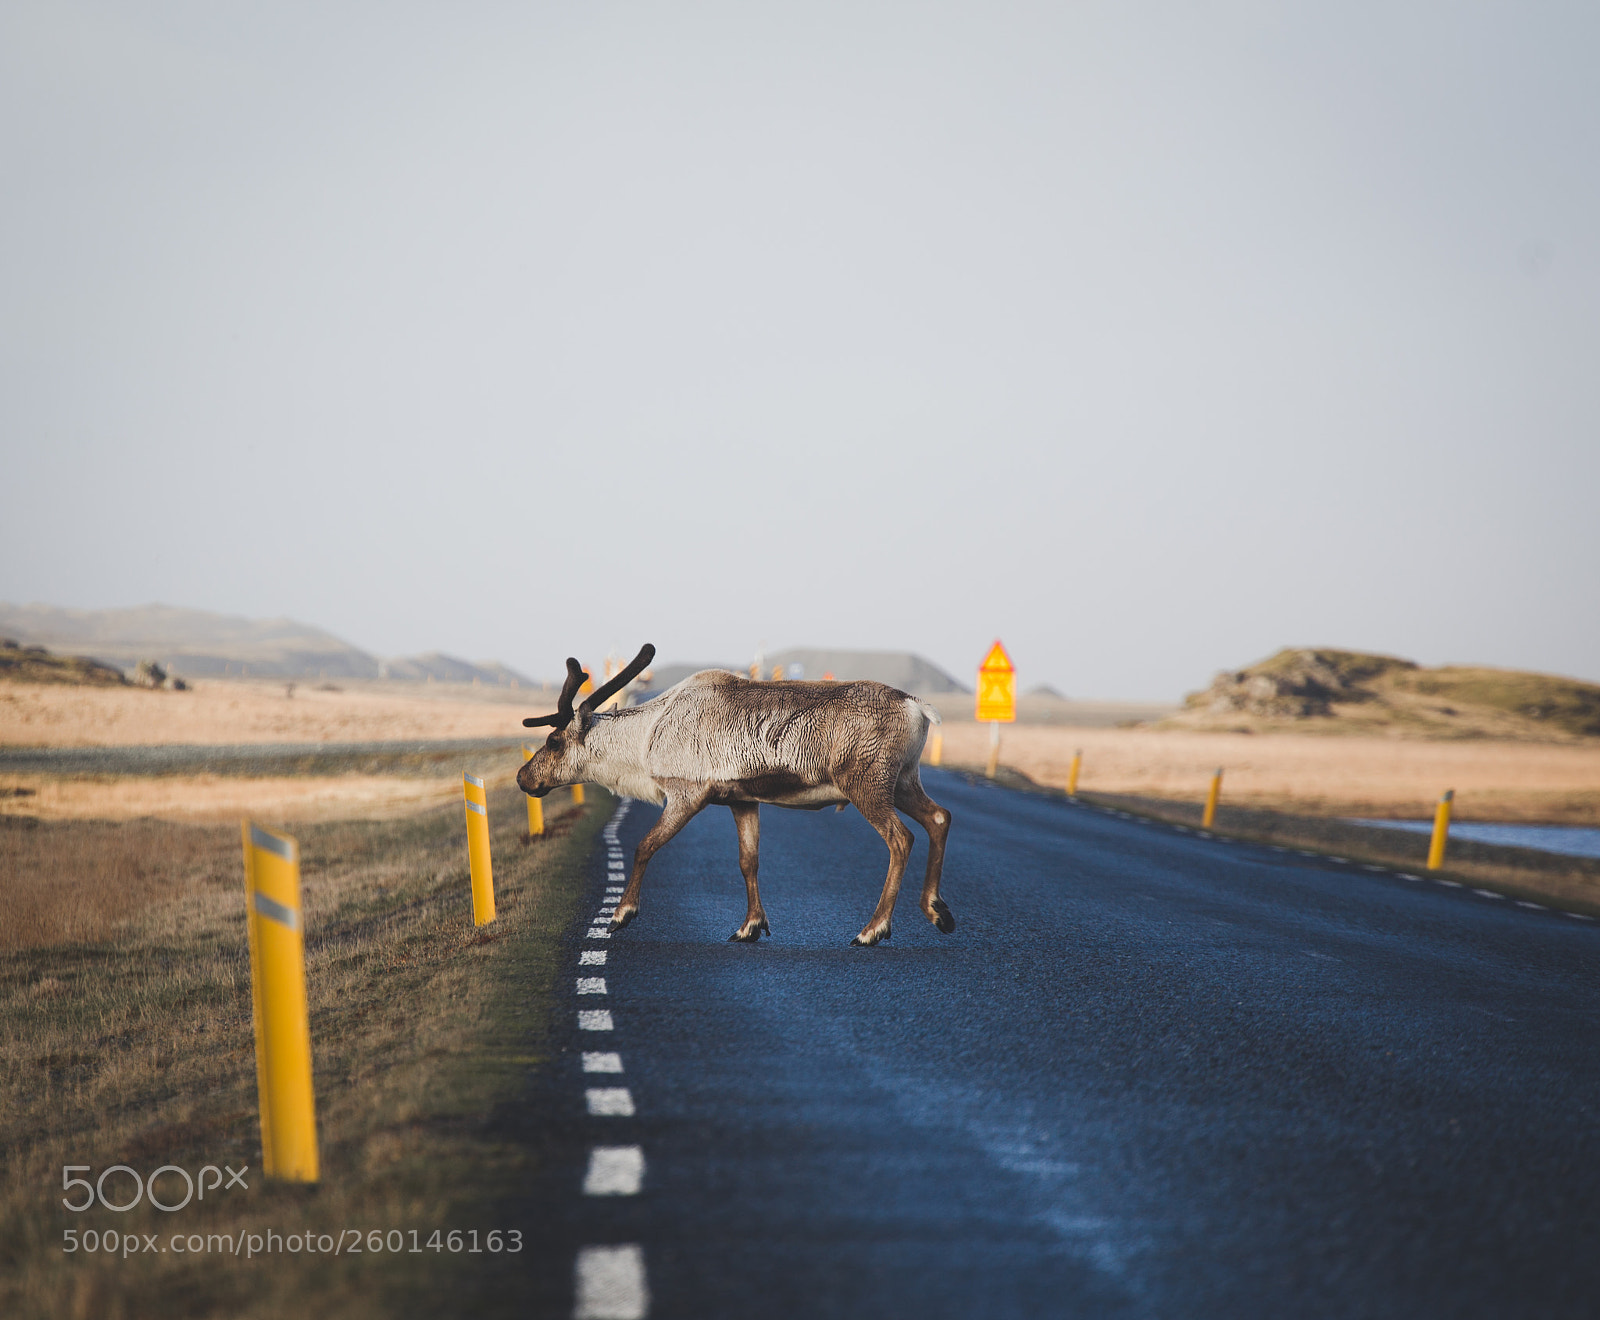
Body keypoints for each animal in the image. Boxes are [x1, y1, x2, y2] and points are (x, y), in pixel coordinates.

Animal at [517, 643, 954, 947]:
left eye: (554, 741)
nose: (523, 777)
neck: (644, 742)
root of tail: (917, 708)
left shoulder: (687, 793)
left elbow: (645, 846)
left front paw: (622, 913)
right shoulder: (742, 800)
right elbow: (749, 861)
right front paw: (750, 926)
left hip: (867, 783)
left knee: (901, 838)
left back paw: (872, 930)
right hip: (903, 781)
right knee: (939, 817)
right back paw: (938, 911)